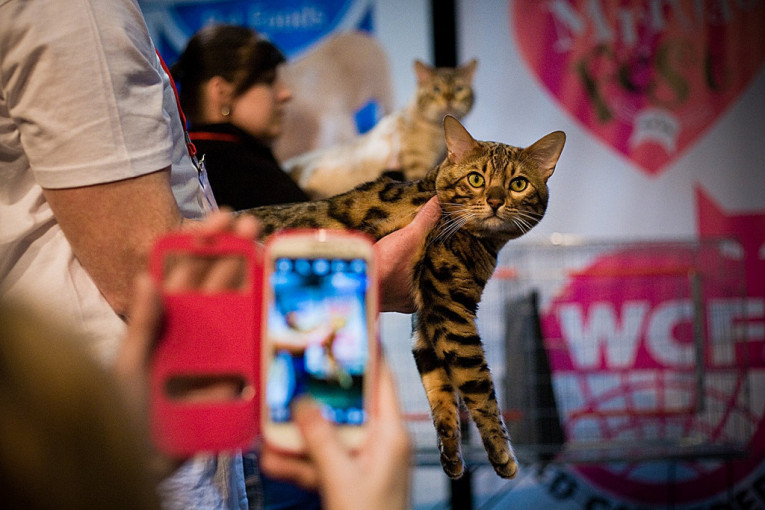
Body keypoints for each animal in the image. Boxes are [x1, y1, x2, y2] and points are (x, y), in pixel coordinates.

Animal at [242, 115, 565, 479]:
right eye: (476, 179)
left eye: (519, 184)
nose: (496, 201)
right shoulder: (450, 309)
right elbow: (479, 387)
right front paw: (502, 453)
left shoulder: (425, 321)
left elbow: (439, 387)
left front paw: (451, 453)